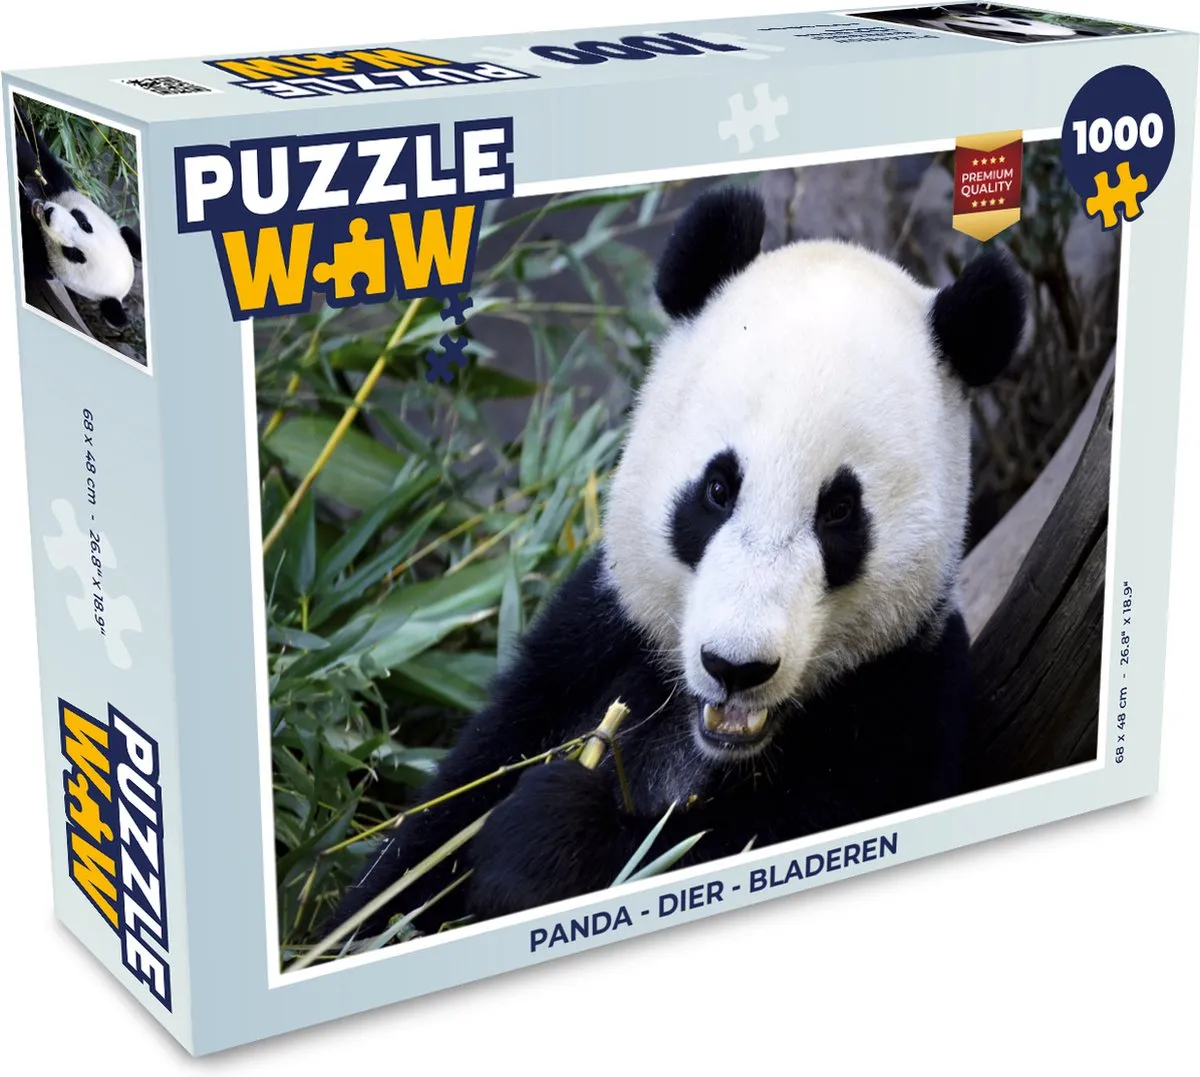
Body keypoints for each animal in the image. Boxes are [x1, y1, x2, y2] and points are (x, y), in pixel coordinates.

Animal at [14, 106, 141, 329]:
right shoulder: (59, 184)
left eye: (73, 253)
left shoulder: (43, 267)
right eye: (84, 223)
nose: (49, 213)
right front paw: (26, 154)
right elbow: (39, 151)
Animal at [334, 187, 1026, 936]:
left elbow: (703, 850)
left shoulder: (901, 708)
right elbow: (432, 832)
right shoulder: (591, 642)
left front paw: (547, 830)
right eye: (718, 489)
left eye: (840, 511)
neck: (708, 737)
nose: (736, 667)